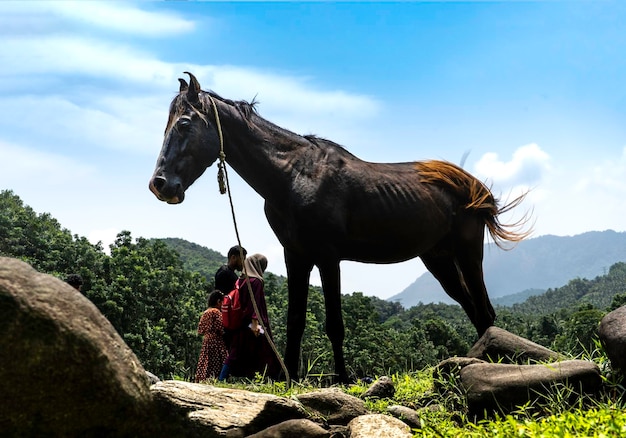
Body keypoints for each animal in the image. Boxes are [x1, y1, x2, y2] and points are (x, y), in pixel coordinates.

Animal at [149, 72, 528, 384]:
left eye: (184, 124)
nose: (160, 184)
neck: (294, 176)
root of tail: (474, 186)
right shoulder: (295, 256)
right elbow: (296, 320)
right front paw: (289, 378)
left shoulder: (328, 257)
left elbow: (334, 324)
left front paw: (342, 378)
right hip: (438, 258)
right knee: (473, 309)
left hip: (468, 252)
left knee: (484, 311)